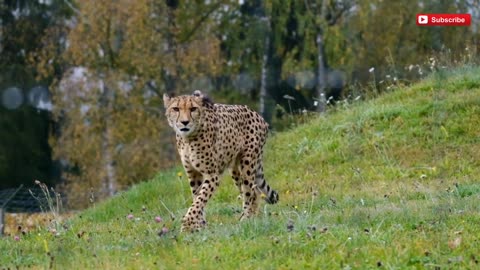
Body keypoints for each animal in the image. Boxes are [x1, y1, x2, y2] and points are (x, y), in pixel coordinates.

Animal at [164, 90, 280, 232]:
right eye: (176, 109)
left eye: (193, 109)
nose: (184, 122)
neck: (188, 139)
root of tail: (257, 114)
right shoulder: (193, 174)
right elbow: (197, 198)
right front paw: (200, 225)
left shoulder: (212, 175)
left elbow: (200, 199)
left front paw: (187, 225)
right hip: (235, 169)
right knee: (255, 191)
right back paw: (252, 218)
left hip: (248, 163)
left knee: (250, 192)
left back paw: (246, 219)